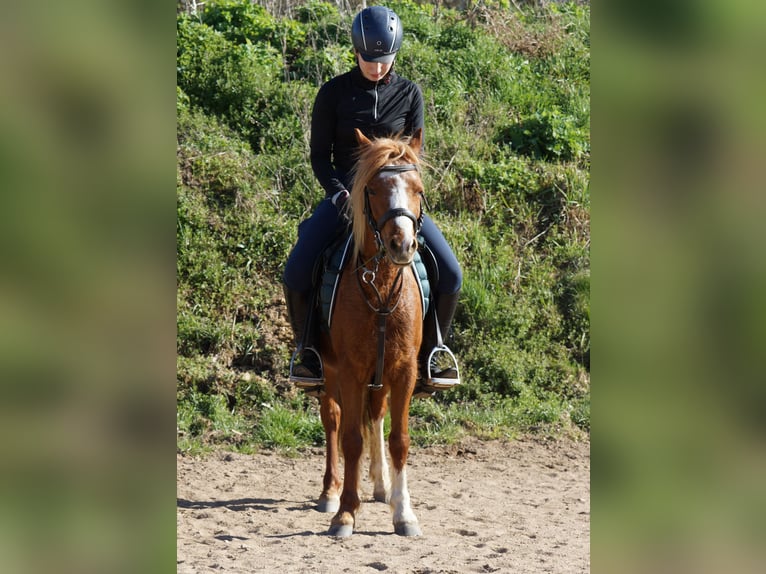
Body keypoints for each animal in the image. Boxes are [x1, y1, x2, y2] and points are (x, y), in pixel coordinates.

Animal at [316, 127, 426, 537]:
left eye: (417, 189)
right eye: (374, 189)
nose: (402, 245)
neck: (379, 287)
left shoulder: (404, 368)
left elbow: (399, 440)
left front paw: (403, 512)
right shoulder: (349, 369)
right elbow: (350, 439)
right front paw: (346, 513)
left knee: (375, 415)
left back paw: (382, 486)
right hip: (328, 371)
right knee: (332, 419)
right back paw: (330, 493)